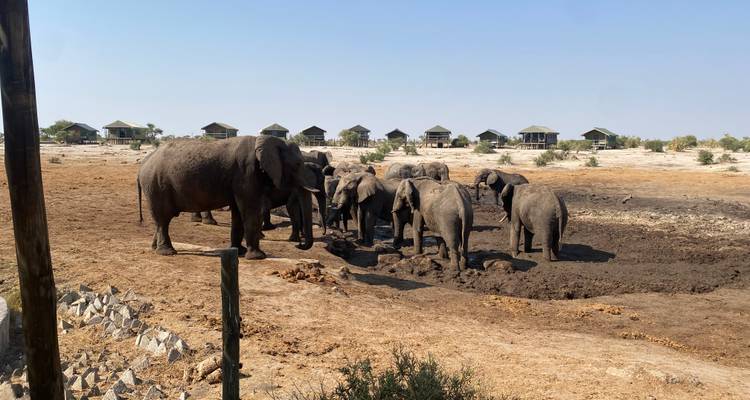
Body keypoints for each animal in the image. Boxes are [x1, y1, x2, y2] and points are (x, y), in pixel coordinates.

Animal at [137, 135, 318, 259]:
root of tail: (143, 164)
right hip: (156, 186)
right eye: (297, 165)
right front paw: (258, 257)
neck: (265, 140)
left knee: (161, 220)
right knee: (163, 219)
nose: (299, 245)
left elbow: (238, 213)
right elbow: (249, 210)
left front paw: (239, 251)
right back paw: (167, 252)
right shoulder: (246, 174)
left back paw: (155, 248)